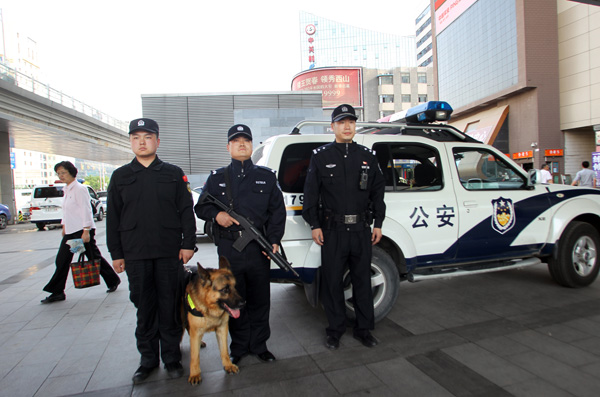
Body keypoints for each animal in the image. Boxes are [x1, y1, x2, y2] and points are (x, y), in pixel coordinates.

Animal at [185, 256, 246, 384]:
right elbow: (194, 355)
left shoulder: (222, 328)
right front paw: (195, 374)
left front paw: (228, 365)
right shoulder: (196, 331)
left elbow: (224, 350)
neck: (210, 309)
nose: (243, 304)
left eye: (235, 286)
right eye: (225, 289)